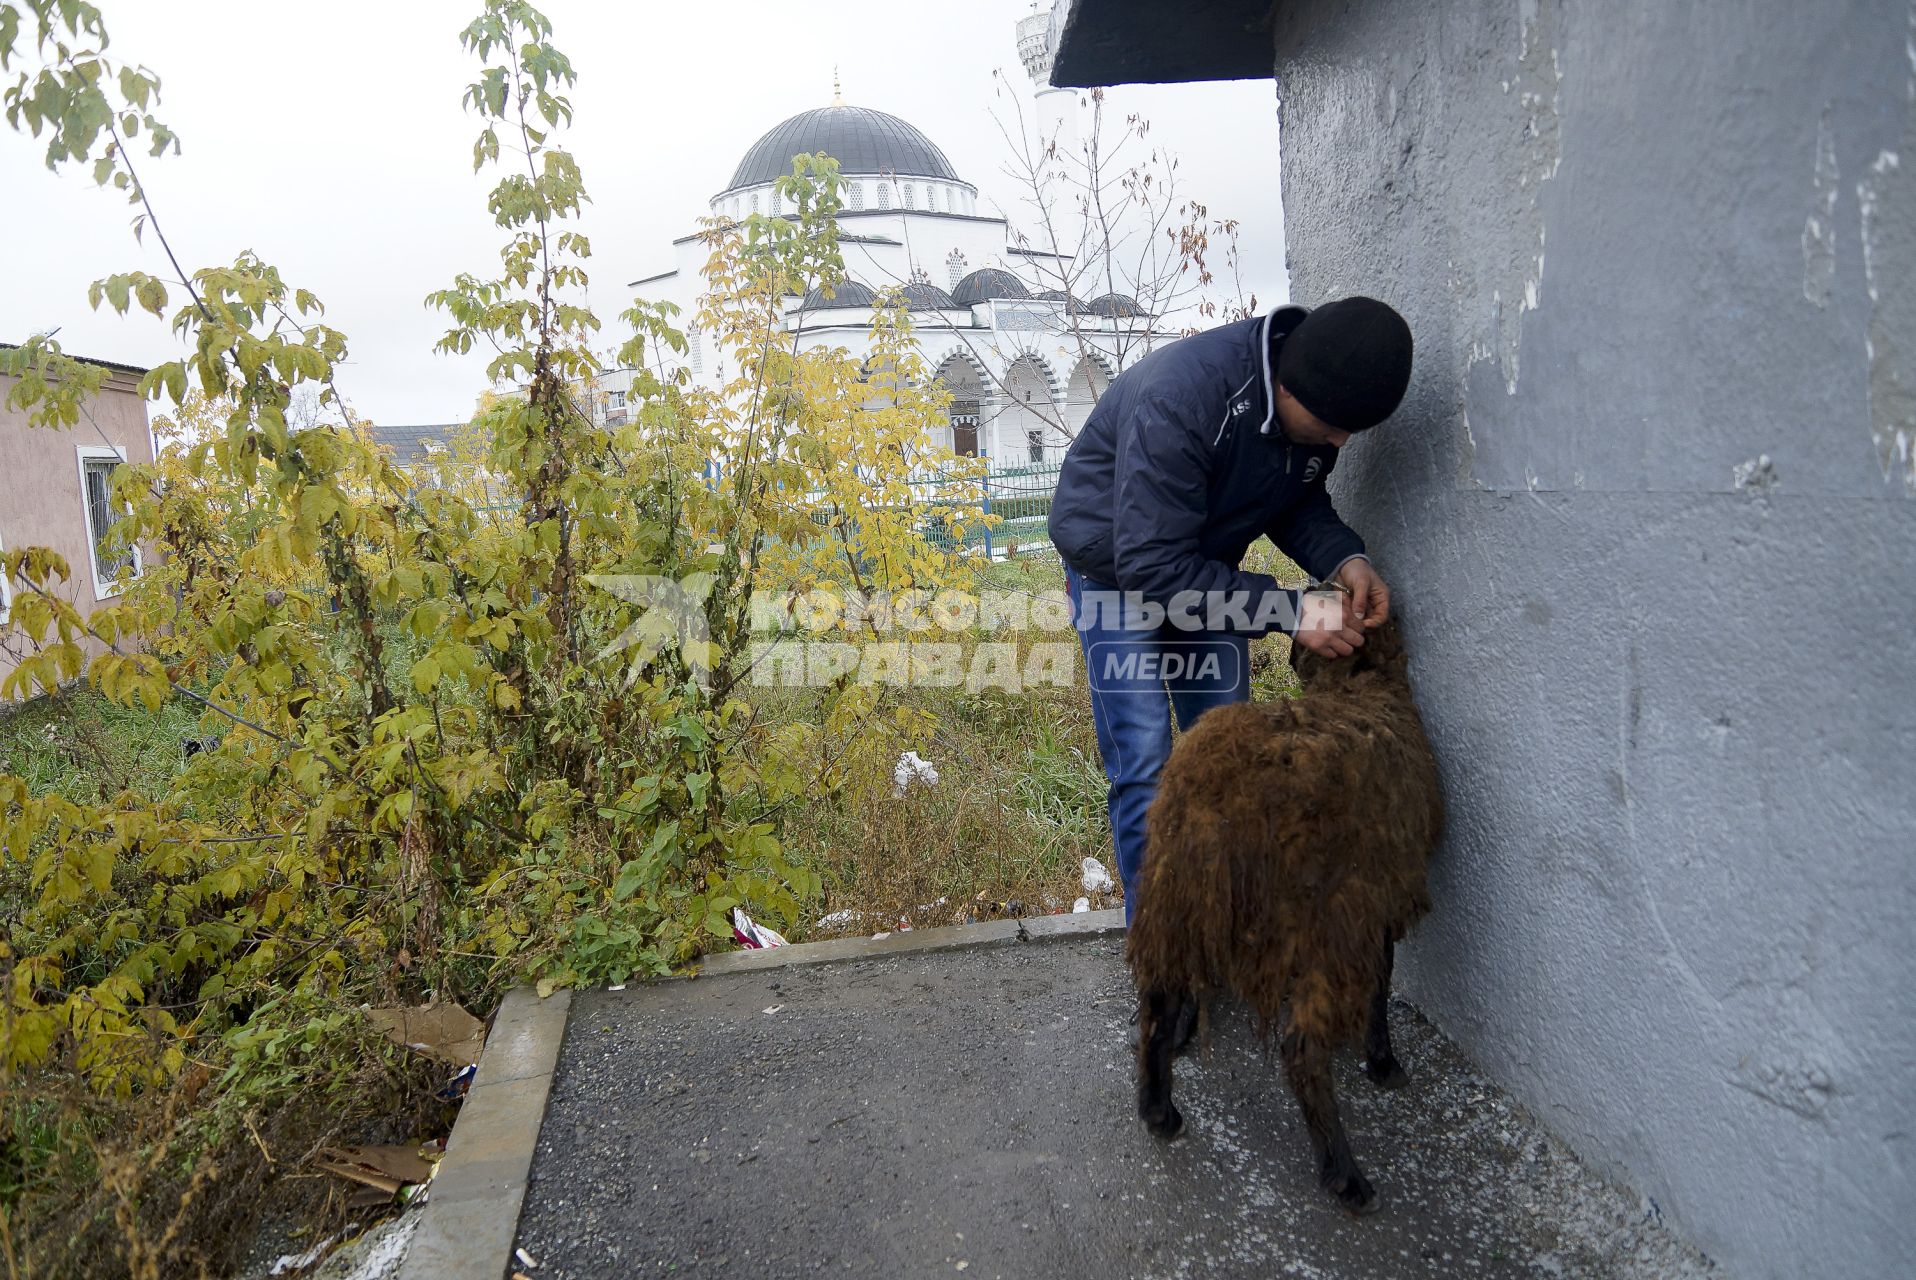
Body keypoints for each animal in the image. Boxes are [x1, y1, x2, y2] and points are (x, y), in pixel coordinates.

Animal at [1118, 613, 1440, 1218]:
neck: (1358, 686)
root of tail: (1213, 784)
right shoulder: (1374, 900)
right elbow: (1381, 984)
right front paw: (1383, 1063)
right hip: (1322, 922)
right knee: (1302, 1048)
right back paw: (1345, 1175)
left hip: (1176, 895)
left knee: (1157, 1003)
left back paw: (1159, 1111)